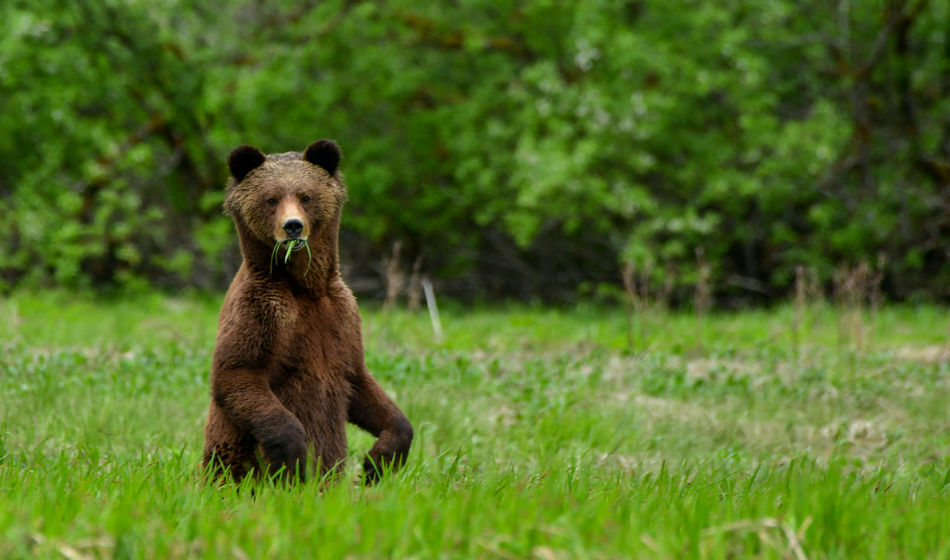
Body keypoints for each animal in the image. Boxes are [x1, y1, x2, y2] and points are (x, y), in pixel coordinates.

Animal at [202, 139, 413, 484]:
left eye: (305, 196)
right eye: (271, 199)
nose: (293, 226)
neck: (304, 288)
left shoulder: (342, 315)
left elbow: (360, 381)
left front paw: (377, 461)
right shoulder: (262, 311)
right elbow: (238, 373)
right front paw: (293, 459)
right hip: (231, 464)